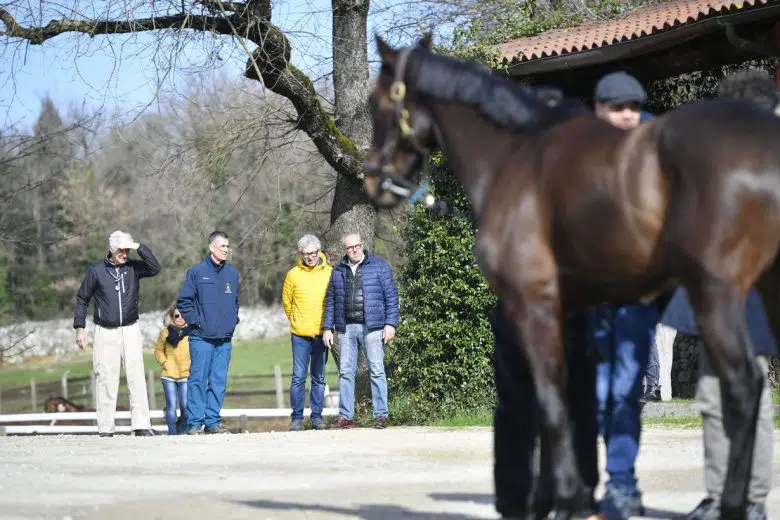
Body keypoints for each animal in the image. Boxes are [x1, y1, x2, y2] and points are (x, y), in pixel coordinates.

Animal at [363, 34, 780, 520]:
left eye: (376, 103)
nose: (374, 181)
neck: (512, 156)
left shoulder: (532, 307)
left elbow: (550, 402)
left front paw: (562, 499)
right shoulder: (569, 314)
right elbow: (566, 402)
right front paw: (564, 500)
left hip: (716, 295)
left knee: (742, 388)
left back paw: (730, 505)